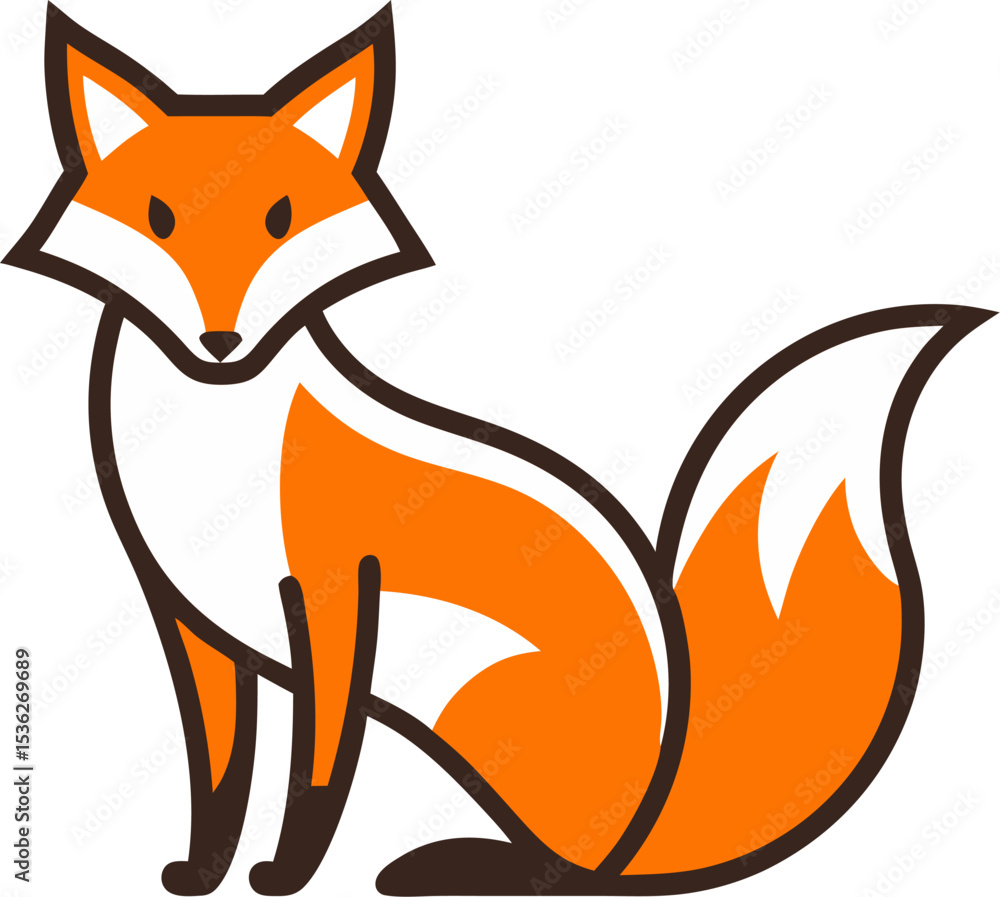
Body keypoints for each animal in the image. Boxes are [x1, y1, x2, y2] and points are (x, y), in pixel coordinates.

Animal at [4, 4, 995, 896]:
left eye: (281, 217)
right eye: (159, 217)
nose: (220, 342)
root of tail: (658, 807)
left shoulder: (332, 603)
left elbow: (315, 774)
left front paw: (284, 875)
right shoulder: (190, 623)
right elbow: (217, 778)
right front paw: (200, 873)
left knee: (583, 872)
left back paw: (466, 867)